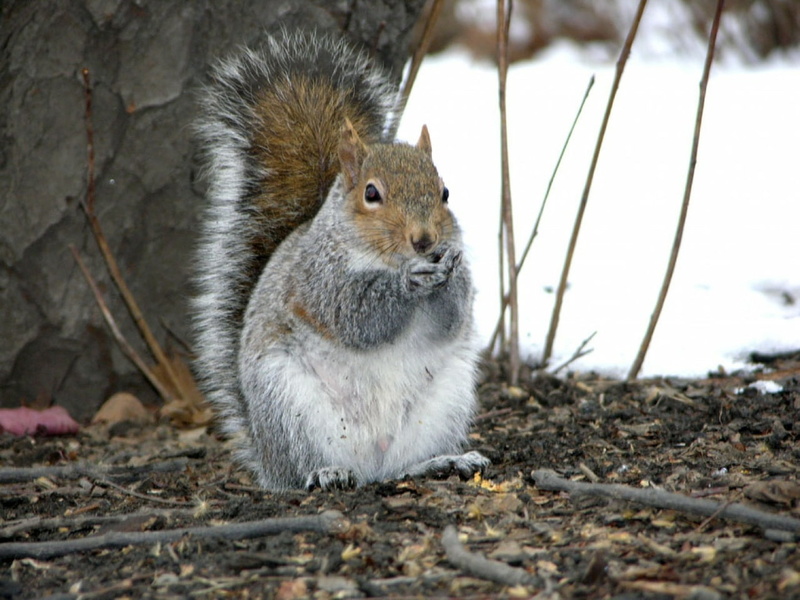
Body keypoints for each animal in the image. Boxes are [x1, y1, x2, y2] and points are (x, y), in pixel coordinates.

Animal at [193, 30, 488, 491]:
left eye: (445, 192)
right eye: (371, 193)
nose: (424, 241)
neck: (382, 259)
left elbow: (451, 320)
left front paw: (450, 274)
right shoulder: (318, 279)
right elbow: (355, 316)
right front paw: (410, 281)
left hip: (444, 402)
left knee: (401, 466)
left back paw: (441, 461)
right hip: (290, 406)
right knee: (302, 468)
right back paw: (327, 472)